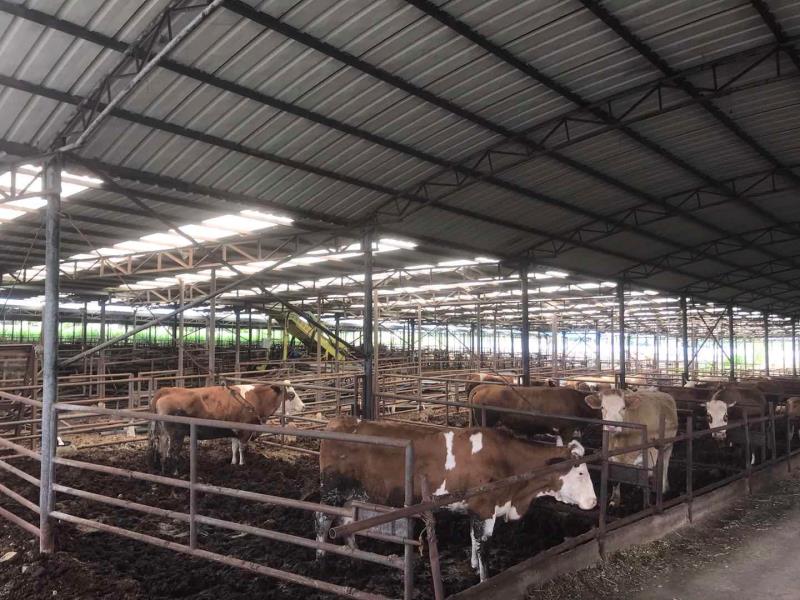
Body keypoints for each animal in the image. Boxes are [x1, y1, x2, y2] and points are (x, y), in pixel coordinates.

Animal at [148, 381, 305, 471]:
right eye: (291, 394)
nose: (303, 406)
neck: (255, 398)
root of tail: (165, 391)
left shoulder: (234, 431)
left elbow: (234, 447)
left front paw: (233, 462)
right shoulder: (244, 431)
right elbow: (242, 448)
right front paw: (242, 464)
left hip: (163, 434)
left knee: (161, 450)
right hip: (176, 435)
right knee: (172, 452)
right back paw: (175, 472)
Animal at [317, 417, 596, 581]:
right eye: (581, 472)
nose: (594, 502)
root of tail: (340, 420)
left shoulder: (476, 510)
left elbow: (473, 538)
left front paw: (472, 564)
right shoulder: (485, 508)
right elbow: (484, 546)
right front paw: (484, 579)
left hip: (351, 495)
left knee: (345, 519)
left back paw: (354, 554)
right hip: (332, 491)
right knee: (322, 520)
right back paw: (321, 559)